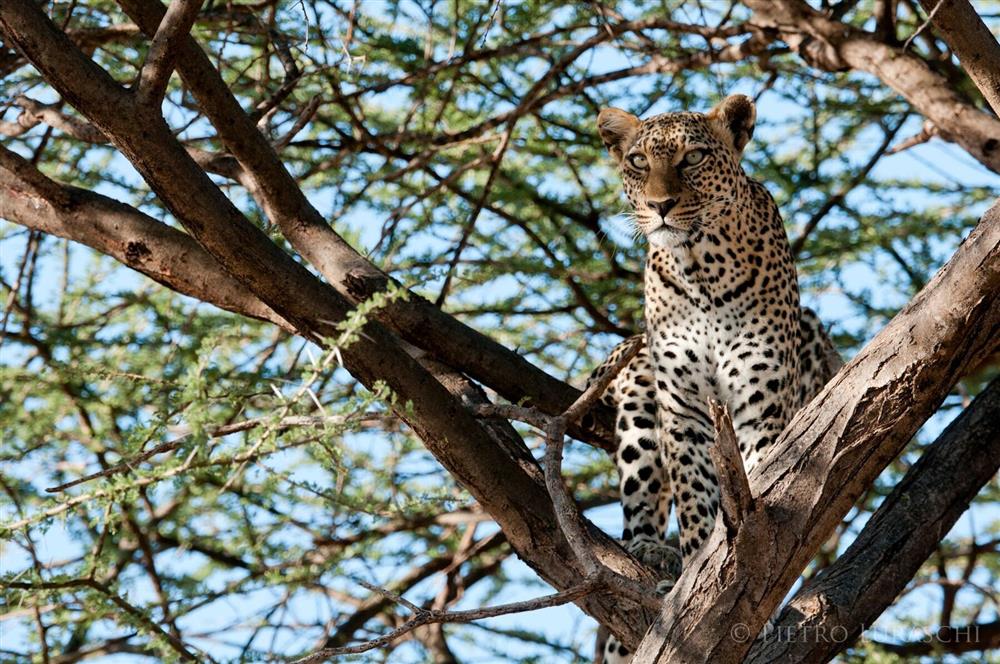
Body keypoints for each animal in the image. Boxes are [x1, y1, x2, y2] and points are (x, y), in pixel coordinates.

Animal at [588, 94, 840, 664]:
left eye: (694, 158)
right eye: (639, 162)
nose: (660, 205)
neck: (700, 266)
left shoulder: (758, 401)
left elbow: (760, 479)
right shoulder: (682, 405)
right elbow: (694, 498)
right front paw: (696, 575)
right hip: (639, 389)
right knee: (641, 494)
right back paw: (652, 552)